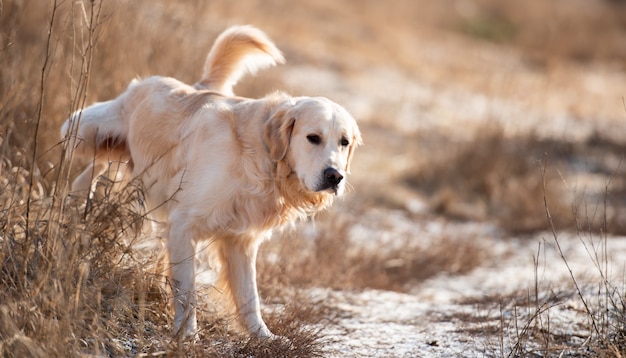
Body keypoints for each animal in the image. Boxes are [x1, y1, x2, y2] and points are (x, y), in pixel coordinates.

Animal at [60, 25, 360, 338]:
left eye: (344, 142)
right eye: (313, 137)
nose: (335, 176)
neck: (257, 156)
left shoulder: (241, 241)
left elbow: (249, 296)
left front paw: (263, 336)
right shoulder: (183, 225)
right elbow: (187, 290)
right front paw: (187, 335)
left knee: (101, 165)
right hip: (87, 128)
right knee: (85, 148)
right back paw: (76, 196)